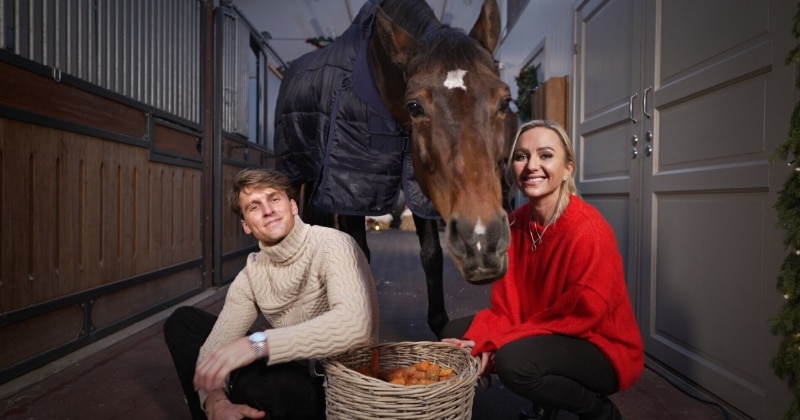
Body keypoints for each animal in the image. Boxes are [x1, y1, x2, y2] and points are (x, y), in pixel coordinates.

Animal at [274, 0, 512, 337]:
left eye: (505, 101)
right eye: (414, 106)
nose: (481, 241)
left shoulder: (419, 186)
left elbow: (431, 255)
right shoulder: (355, 187)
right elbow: (360, 254)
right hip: (298, 175)